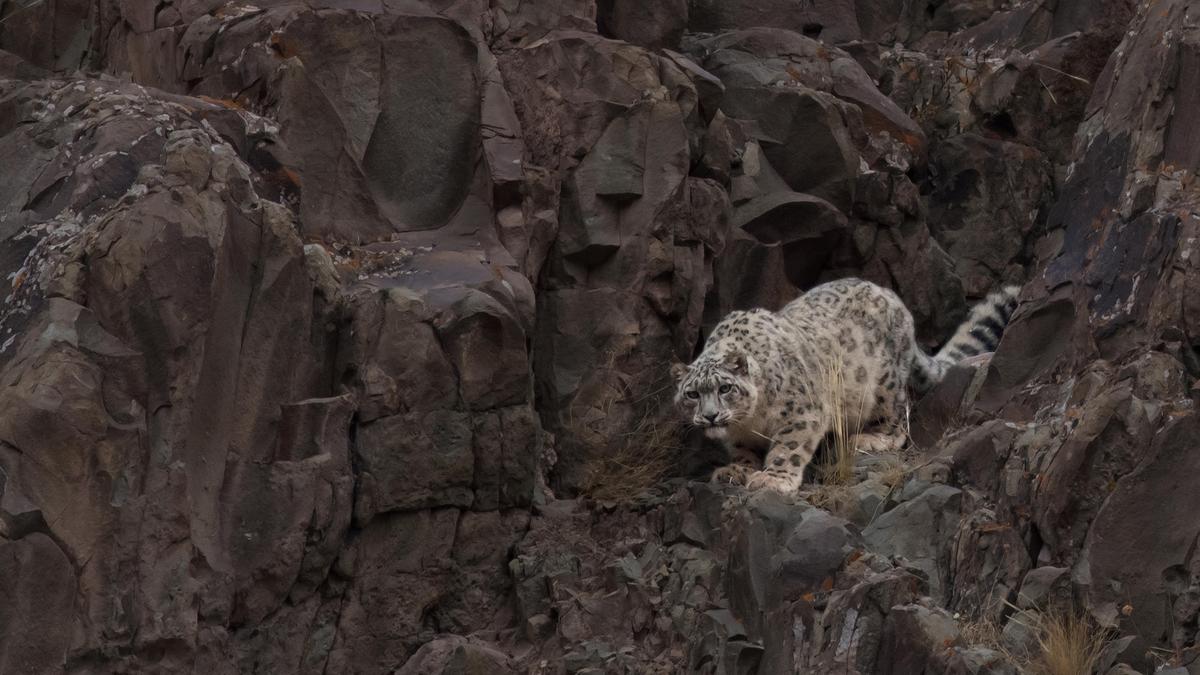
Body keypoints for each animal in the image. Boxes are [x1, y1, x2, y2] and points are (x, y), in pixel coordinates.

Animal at [672, 278, 1020, 494]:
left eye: (725, 388)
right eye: (692, 394)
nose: (711, 416)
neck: (750, 421)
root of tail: (893, 298)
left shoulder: (802, 412)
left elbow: (788, 448)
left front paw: (773, 479)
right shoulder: (739, 436)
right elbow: (744, 451)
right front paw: (736, 470)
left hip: (883, 385)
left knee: (898, 416)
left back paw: (872, 438)